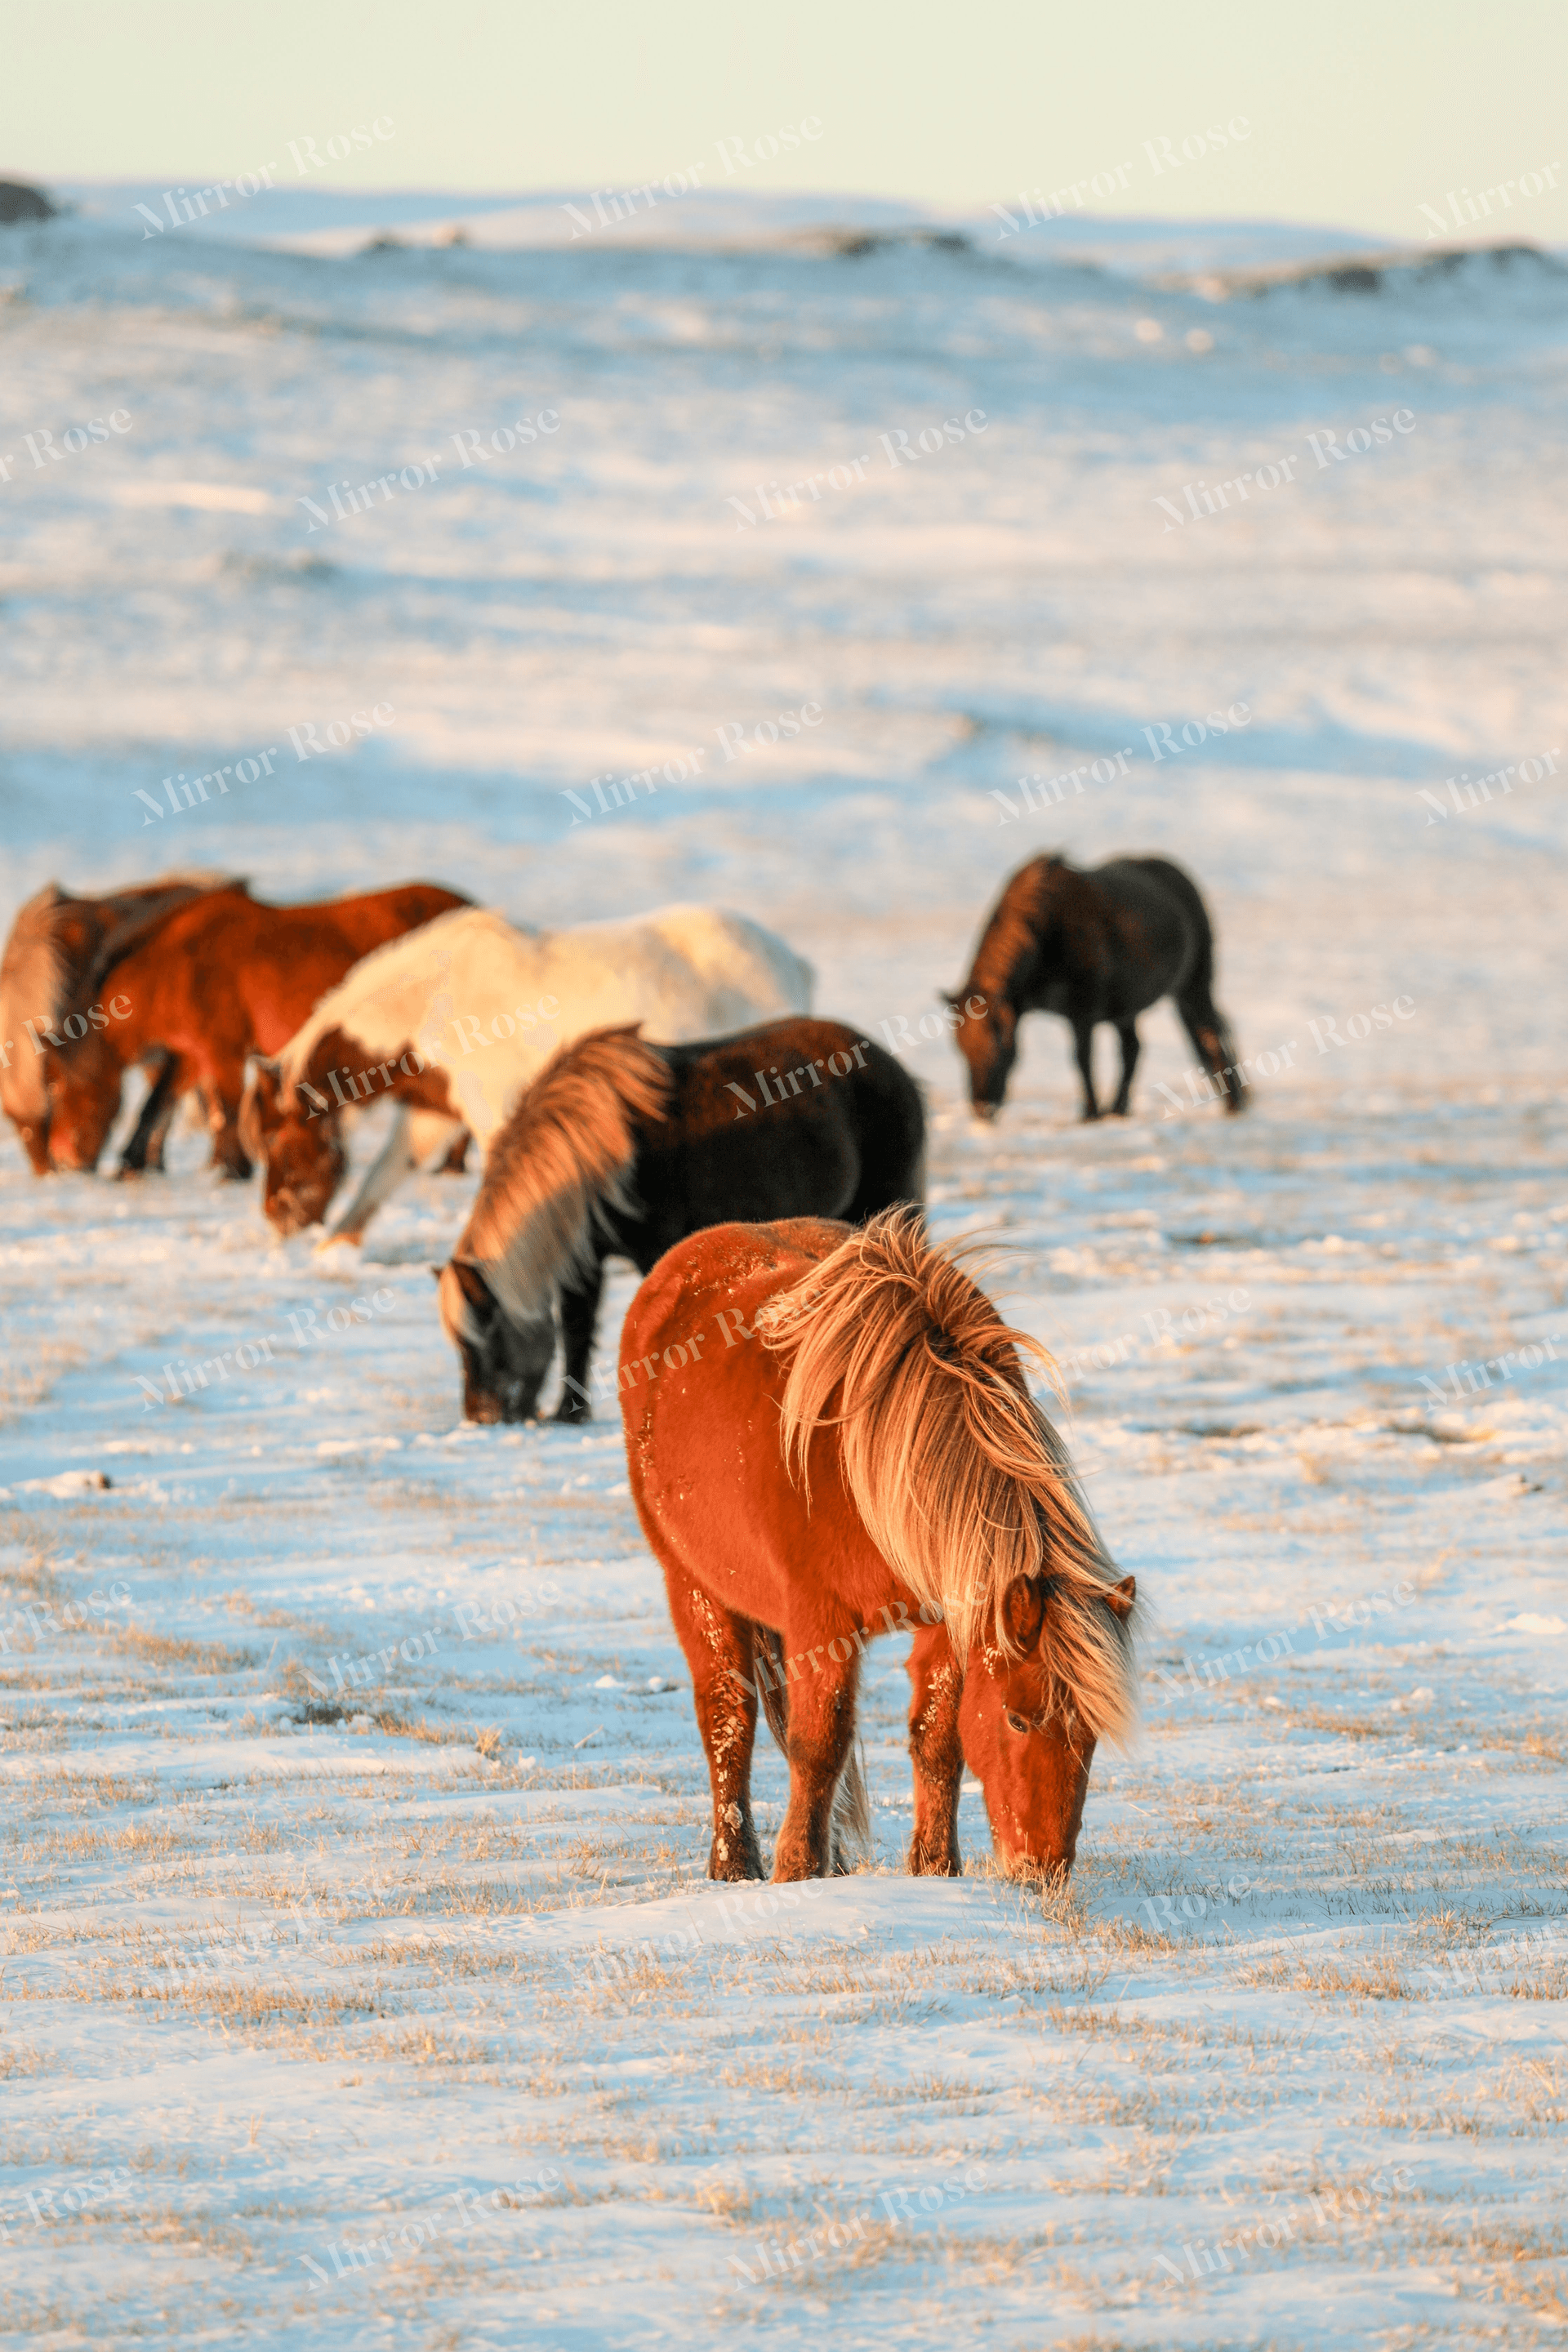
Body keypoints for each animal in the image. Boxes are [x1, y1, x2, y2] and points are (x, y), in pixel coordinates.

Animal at [43, 882, 470, 1178]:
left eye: (59, 1087)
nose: (63, 1160)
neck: (178, 964)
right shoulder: (189, 1053)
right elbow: (157, 1104)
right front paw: (131, 1163)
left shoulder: (222, 1049)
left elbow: (226, 1109)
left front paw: (234, 1169)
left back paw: (453, 1164)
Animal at [243, 904, 814, 1243]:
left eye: (274, 1139)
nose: (275, 1217)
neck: (433, 1001)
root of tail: (793, 962)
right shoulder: (436, 1114)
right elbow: (385, 1174)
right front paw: (335, 1249)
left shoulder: (489, 1109)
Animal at [439, 1019, 925, 1424]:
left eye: (488, 1336)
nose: (479, 1417)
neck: (602, 1155)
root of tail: (892, 1065)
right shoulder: (584, 1259)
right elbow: (577, 1329)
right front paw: (568, 1413)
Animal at [621, 1209, 1138, 1883]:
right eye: (1018, 1718)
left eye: (1092, 1734)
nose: (1043, 1871)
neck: (871, 1460)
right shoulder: (819, 1623)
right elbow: (819, 1745)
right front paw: (796, 1870)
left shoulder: (949, 1616)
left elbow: (937, 1738)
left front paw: (935, 1867)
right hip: (693, 1585)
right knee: (728, 1718)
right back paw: (735, 1863)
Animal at [945, 853, 1247, 1122]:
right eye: (961, 1049)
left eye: (995, 1047)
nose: (981, 1108)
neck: (1047, 930)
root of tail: (1183, 879)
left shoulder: (1084, 1009)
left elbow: (1082, 1058)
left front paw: (1090, 1113)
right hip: (1127, 1008)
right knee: (1133, 1050)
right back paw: (1118, 1109)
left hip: (1194, 986)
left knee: (1209, 1036)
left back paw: (1233, 1104)